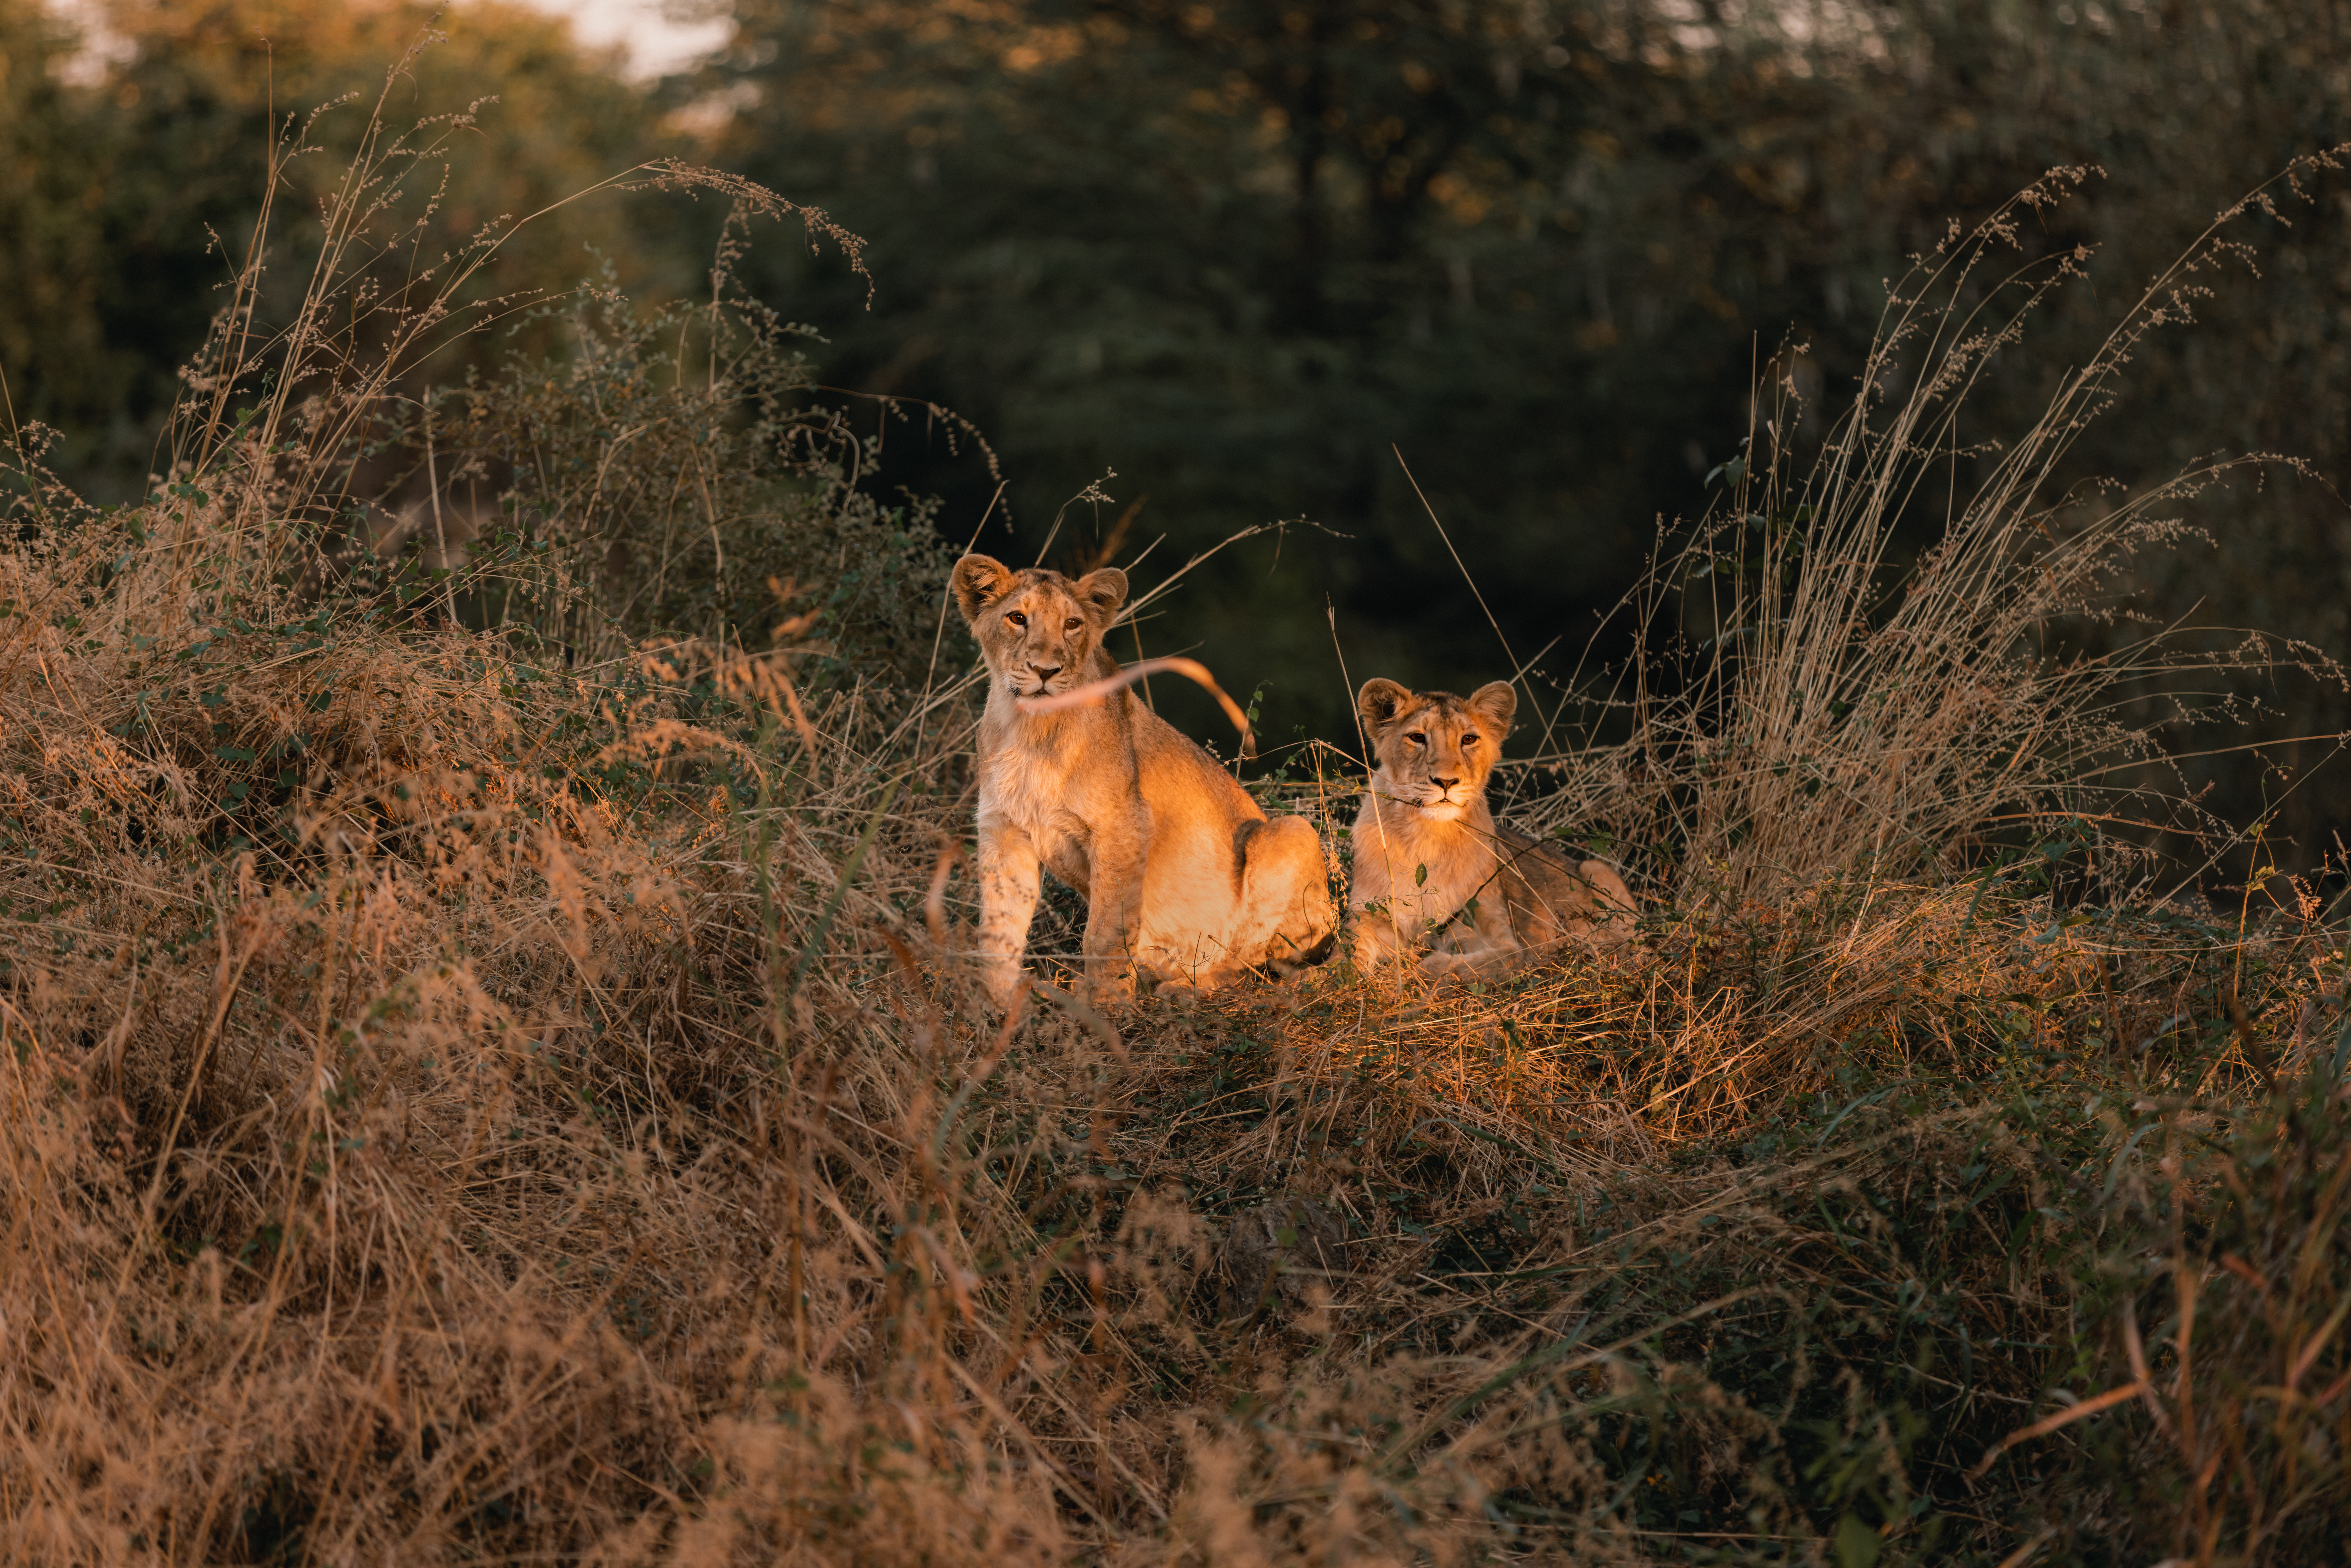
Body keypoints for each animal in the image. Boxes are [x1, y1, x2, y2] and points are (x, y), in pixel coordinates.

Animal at [953, 553, 1337, 1007]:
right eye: (1017, 618)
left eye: (1072, 624)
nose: (1045, 671)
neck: (1032, 729)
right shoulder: (1005, 832)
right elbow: (999, 927)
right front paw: (993, 1002)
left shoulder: (1125, 826)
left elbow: (1104, 932)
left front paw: (1105, 1004)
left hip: (1292, 833)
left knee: (1258, 963)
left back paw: (1183, 987)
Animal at [1347, 677, 1634, 975]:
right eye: (1417, 738)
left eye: (1468, 740)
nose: (1446, 781)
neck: (1428, 837)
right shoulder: (1367, 915)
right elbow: (1345, 960)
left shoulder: (1500, 935)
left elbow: (1489, 962)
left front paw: (1425, 967)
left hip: (1597, 870)